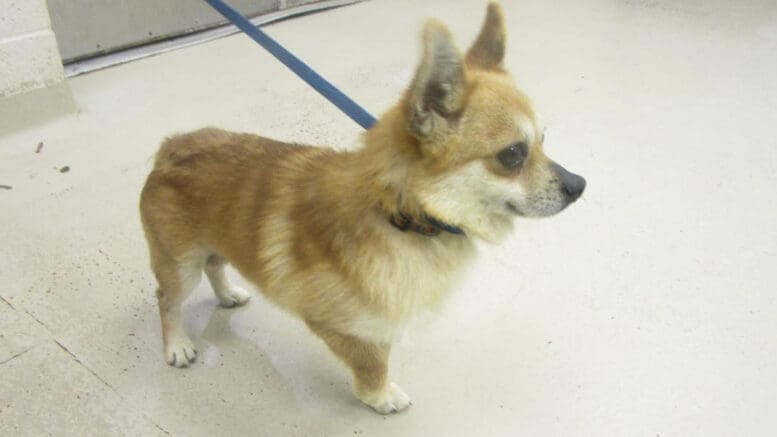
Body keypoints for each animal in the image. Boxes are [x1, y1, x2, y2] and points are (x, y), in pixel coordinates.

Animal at [138, 2, 584, 412]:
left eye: (544, 140)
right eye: (512, 154)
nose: (579, 185)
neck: (400, 213)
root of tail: (170, 148)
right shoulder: (352, 329)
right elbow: (374, 364)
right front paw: (380, 397)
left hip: (210, 244)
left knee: (215, 264)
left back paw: (227, 293)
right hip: (180, 266)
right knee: (167, 299)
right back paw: (176, 344)